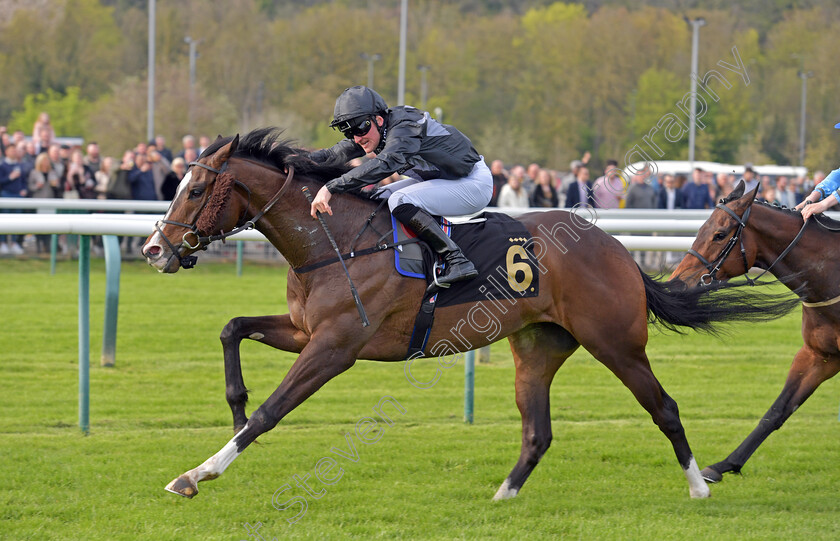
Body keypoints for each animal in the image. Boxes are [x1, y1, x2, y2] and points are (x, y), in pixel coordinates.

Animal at [143, 129, 796, 500]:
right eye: (177, 183)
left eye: (195, 191)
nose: (153, 249)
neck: (335, 240)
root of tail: (613, 247)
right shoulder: (306, 331)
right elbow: (231, 330)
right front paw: (233, 405)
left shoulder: (336, 347)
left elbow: (272, 413)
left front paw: (198, 473)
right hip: (537, 346)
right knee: (538, 431)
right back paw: (502, 497)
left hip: (617, 343)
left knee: (664, 406)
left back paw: (699, 487)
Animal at [672, 180, 840, 480]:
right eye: (701, 229)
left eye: (720, 234)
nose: (677, 283)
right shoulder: (819, 355)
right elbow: (778, 410)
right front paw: (723, 465)